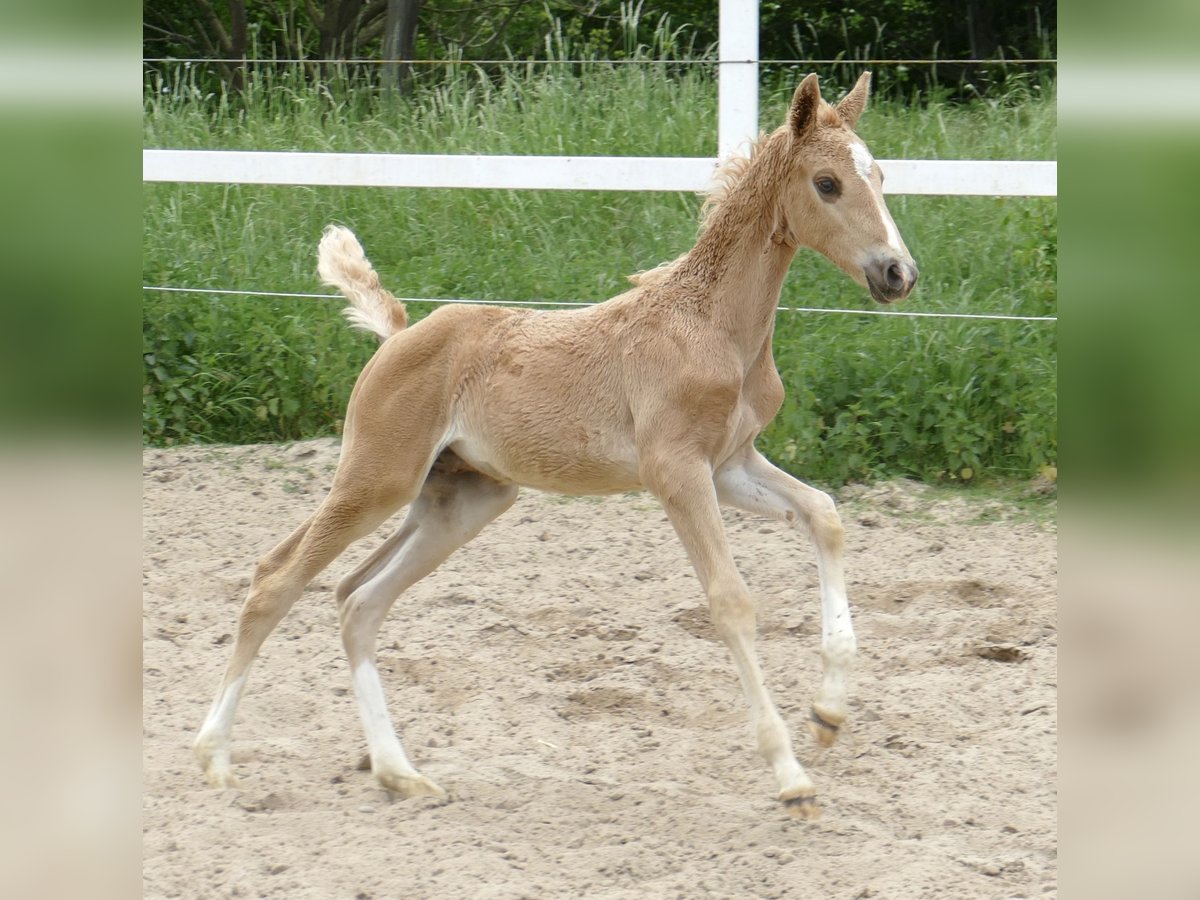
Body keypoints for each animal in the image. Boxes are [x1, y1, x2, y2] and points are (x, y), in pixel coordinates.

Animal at [194, 72, 916, 816]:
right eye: (827, 183)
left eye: (880, 175)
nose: (898, 273)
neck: (713, 326)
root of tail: (397, 335)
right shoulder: (676, 471)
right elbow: (731, 601)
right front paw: (791, 774)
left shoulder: (730, 465)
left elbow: (825, 515)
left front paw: (828, 715)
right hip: (377, 479)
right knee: (276, 580)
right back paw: (215, 758)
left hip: (462, 501)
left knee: (356, 600)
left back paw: (399, 771)